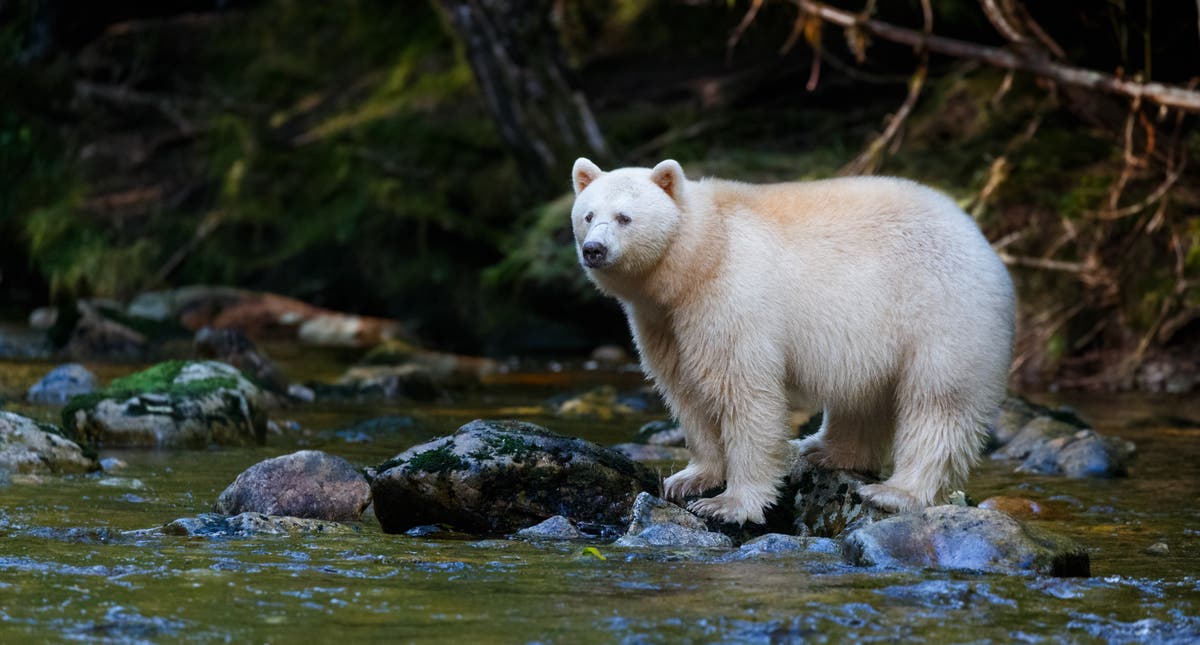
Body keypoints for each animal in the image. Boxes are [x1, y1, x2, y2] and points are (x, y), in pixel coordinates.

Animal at [571, 158, 1012, 525]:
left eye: (624, 217)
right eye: (587, 215)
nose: (594, 249)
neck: (699, 254)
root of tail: (979, 237)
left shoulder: (729, 298)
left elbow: (743, 392)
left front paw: (729, 504)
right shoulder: (663, 322)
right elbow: (687, 392)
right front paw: (689, 478)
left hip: (940, 309)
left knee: (939, 401)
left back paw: (895, 491)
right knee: (864, 397)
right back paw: (823, 449)